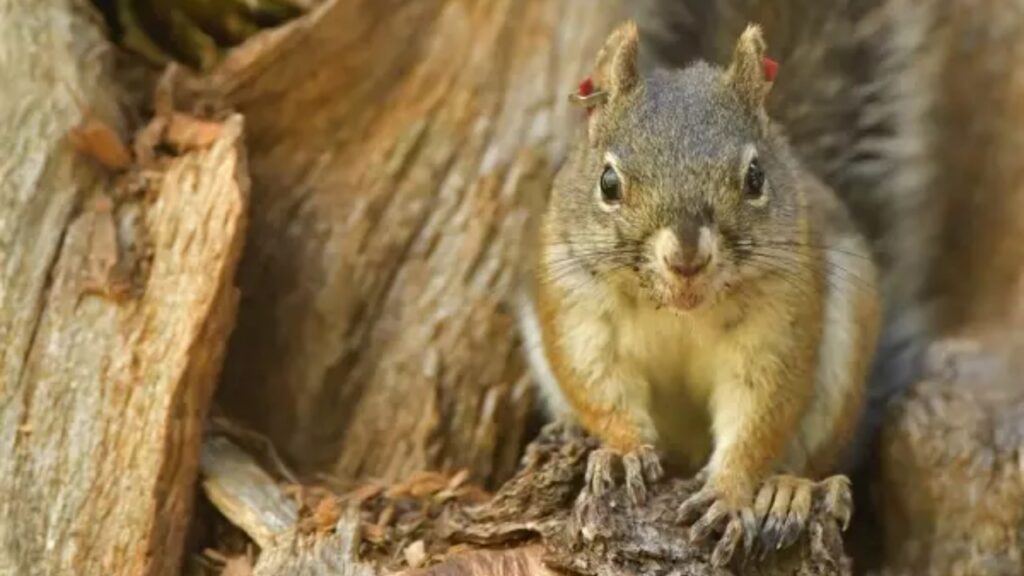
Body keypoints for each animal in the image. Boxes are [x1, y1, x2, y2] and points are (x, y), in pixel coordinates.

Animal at [516, 21, 884, 565]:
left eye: (755, 176)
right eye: (608, 182)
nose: (686, 258)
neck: (679, 311)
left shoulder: (779, 320)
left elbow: (759, 412)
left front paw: (729, 493)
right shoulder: (578, 308)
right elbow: (599, 382)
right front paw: (625, 453)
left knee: (811, 457)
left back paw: (789, 490)